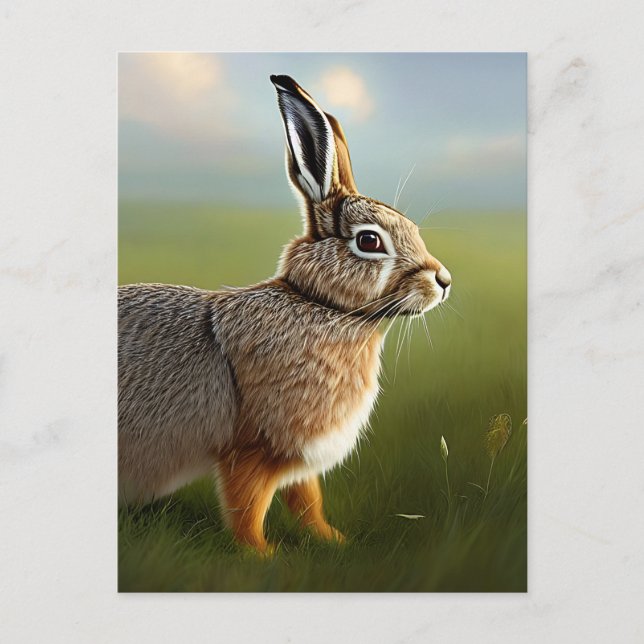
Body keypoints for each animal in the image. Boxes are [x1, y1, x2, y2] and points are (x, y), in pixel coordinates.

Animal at [118, 74, 452, 553]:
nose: (443, 281)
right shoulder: (253, 449)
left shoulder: (301, 460)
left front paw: (335, 541)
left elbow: (307, 500)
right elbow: (247, 507)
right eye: (369, 241)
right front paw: (262, 555)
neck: (318, 305)